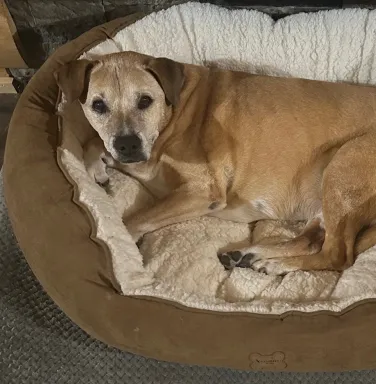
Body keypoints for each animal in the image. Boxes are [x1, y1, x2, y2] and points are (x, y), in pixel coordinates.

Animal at [55, 51, 376, 276]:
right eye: (98, 105)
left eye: (145, 100)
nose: (127, 145)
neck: (175, 107)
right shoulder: (145, 164)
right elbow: (93, 141)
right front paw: (95, 166)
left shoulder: (199, 191)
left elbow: (134, 218)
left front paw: (124, 240)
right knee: (312, 240)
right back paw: (251, 254)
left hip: (344, 164)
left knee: (337, 255)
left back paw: (275, 265)